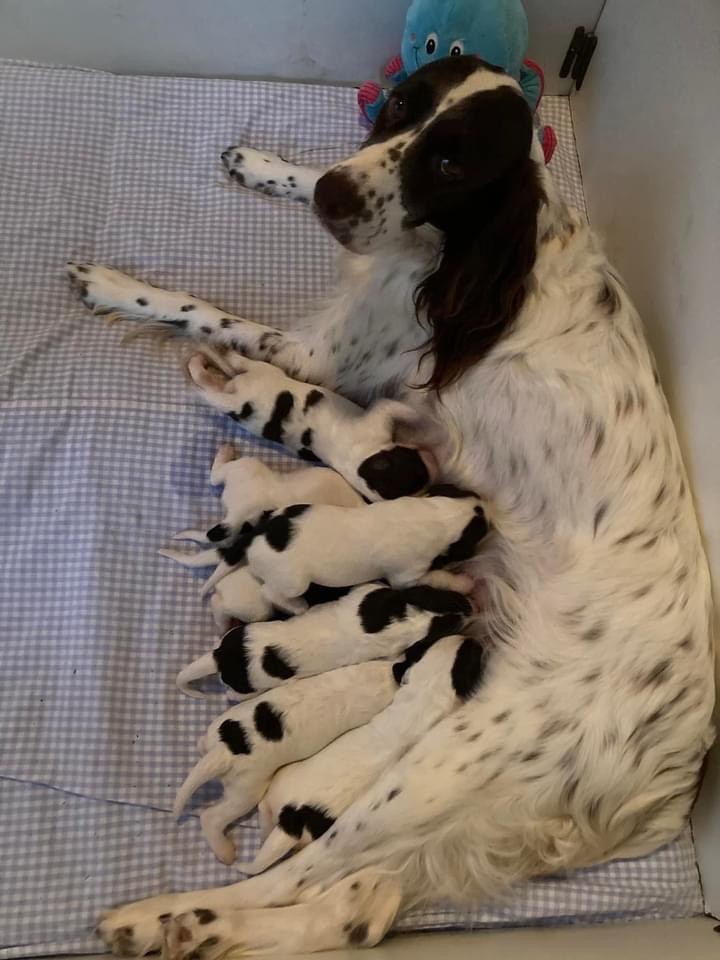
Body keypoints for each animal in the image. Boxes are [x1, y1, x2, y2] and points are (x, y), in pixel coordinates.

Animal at [172, 576, 470, 696]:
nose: (469, 608)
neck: (402, 621)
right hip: (250, 686)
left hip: (238, 632)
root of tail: (221, 658)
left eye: (437, 594)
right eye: (442, 631)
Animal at [236, 484, 490, 612]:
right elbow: (439, 577)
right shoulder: (407, 577)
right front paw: (463, 582)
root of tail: (255, 536)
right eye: (479, 531)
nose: (488, 508)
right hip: (293, 582)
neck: (436, 517)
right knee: (269, 592)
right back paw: (297, 606)